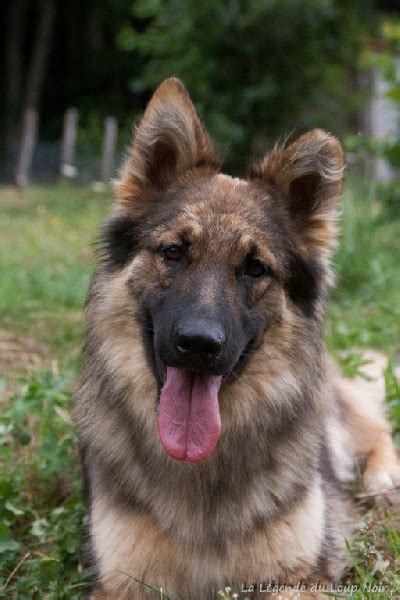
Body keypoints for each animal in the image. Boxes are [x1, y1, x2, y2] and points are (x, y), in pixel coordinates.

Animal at [76, 77, 400, 596]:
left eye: (255, 268)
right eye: (173, 252)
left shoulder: (299, 576)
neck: (200, 466)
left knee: (373, 429)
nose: (199, 345)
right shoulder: (121, 582)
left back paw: (383, 476)